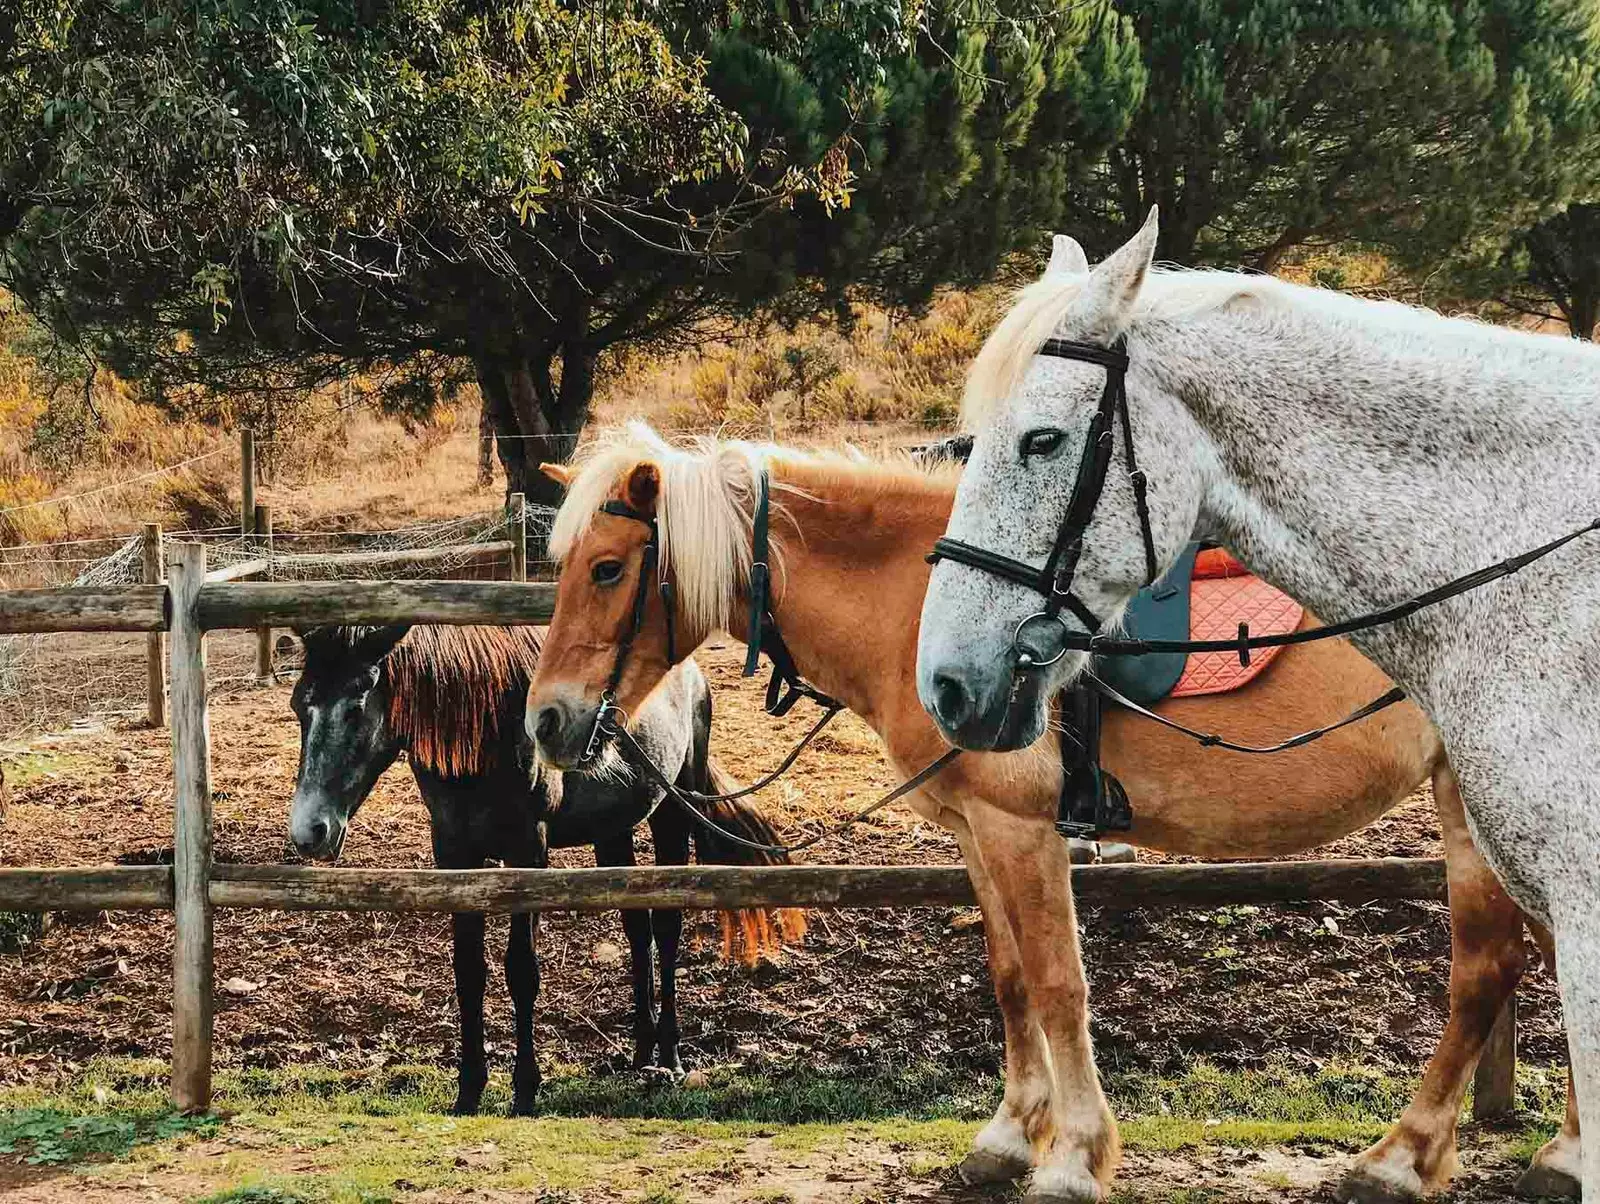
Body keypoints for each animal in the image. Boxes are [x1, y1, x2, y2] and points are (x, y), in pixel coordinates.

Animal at [286, 624, 800, 1114]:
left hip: (673, 814)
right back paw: (642, 1051)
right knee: (639, 932)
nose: (310, 831)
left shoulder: (528, 852)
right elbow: (468, 970)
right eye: (298, 706)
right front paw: (469, 1089)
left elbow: (521, 970)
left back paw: (670, 1055)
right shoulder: (454, 854)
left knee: (667, 929)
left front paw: (525, 1088)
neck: (489, 730)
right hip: (612, 832)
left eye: (355, 709)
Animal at [521, 425, 1574, 1204]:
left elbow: (1061, 984)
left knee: (1487, 969)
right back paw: (1557, 1154)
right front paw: (1005, 1139)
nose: (546, 719)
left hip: (1480, 810)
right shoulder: (977, 831)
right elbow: (1011, 979)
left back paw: (1400, 1160)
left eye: (608, 568)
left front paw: (1070, 1157)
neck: (918, 601)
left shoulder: (1023, 831)